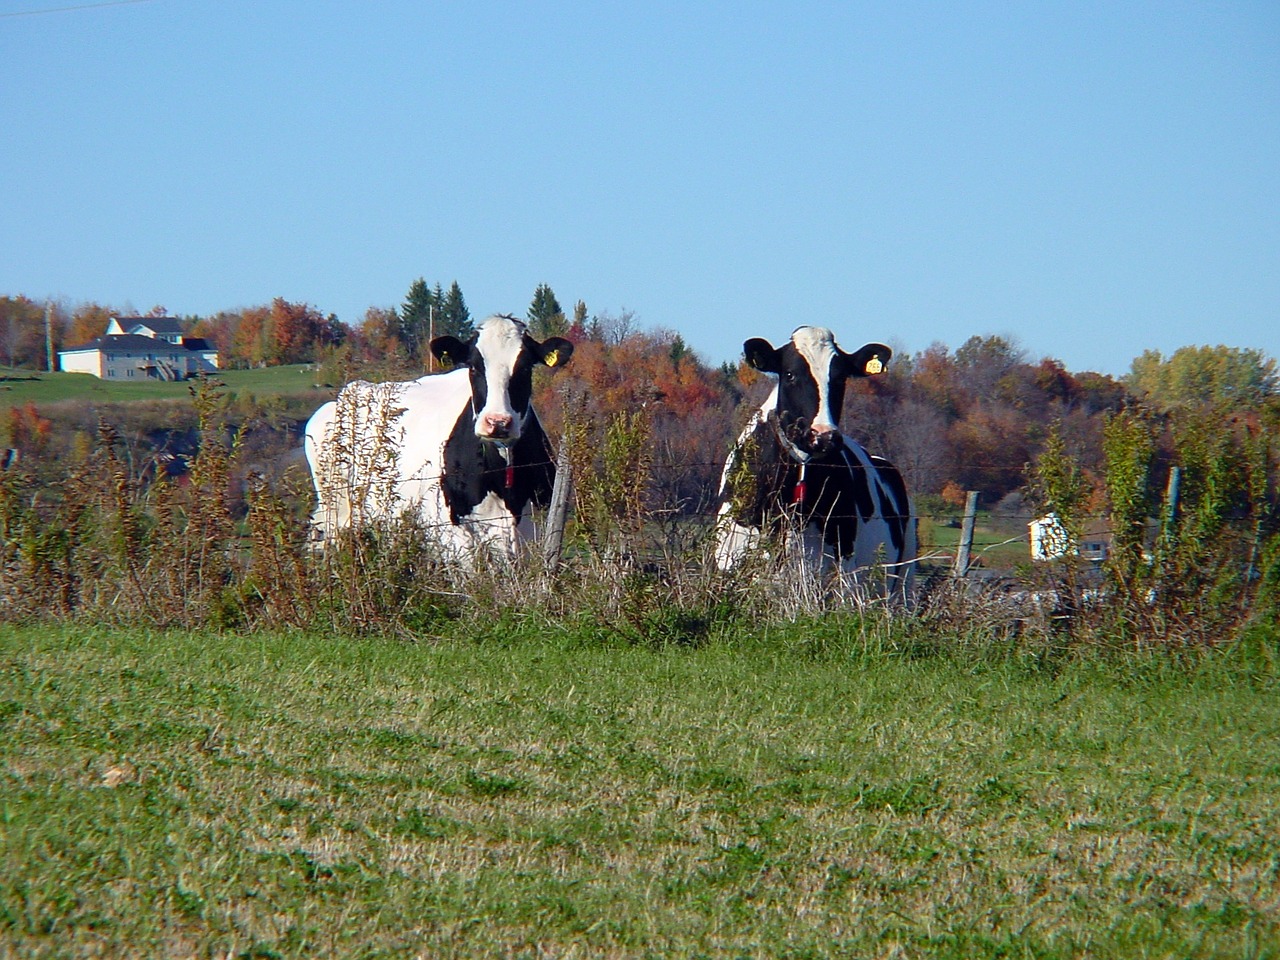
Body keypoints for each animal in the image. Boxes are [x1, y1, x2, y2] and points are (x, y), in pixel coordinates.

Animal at [302, 312, 573, 560]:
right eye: (473, 367)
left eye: (525, 367)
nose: (498, 422)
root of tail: (349, 391)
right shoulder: (455, 537)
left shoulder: (535, 528)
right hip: (335, 512)